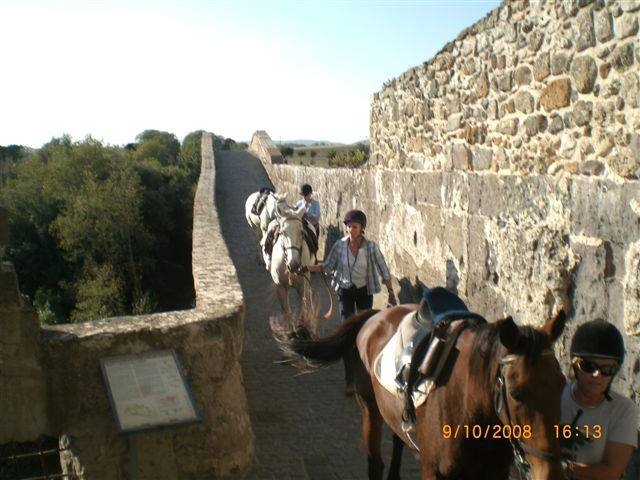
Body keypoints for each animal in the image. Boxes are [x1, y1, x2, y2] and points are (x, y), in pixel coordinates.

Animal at [280, 300, 564, 476]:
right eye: (516, 394)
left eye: (561, 385)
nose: (550, 472)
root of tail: (374, 315)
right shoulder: (433, 470)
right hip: (369, 408)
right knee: (375, 461)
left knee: (397, 439)